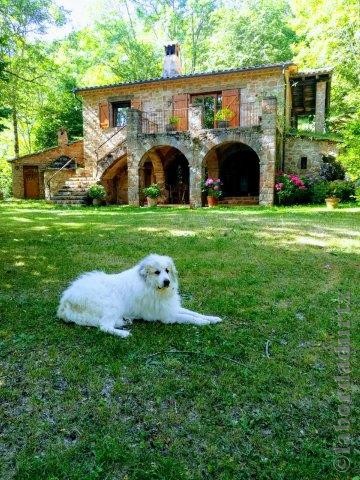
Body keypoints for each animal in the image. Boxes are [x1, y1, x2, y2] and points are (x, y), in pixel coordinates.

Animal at [57, 255, 221, 338]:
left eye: (167, 271)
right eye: (157, 272)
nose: (167, 282)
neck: (150, 286)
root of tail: (65, 301)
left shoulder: (171, 308)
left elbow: (194, 313)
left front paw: (212, 318)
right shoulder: (167, 316)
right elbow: (189, 318)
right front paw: (203, 323)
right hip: (113, 304)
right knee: (104, 326)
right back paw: (124, 333)